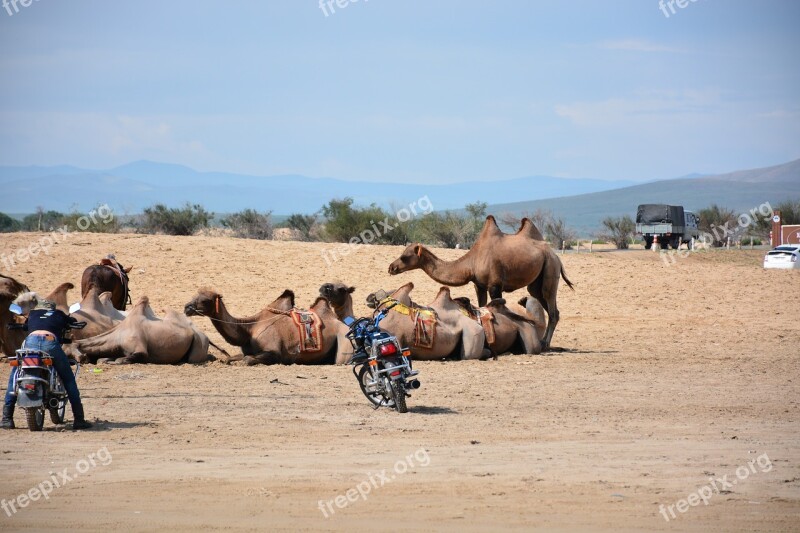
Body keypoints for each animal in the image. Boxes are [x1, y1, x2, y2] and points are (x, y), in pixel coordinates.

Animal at [75, 296, 211, 366]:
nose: (81, 359)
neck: (118, 334)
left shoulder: (140, 349)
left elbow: (124, 359)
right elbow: (106, 358)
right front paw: (105, 360)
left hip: (199, 343)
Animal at [188, 286, 354, 366]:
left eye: (205, 300)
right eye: (194, 296)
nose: (187, 307)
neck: (249, 329)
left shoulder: (274, 352)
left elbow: (247, 360)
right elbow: (232, 358)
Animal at [390, 214, 572, 352]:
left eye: (405, 256)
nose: (391, 267)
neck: (471, 262)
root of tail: (555, 255)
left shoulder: (495, 285)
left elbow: (496, 308)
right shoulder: (480, 286)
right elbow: (481, 307)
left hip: (551, 268)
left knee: (552, 307)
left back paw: (545, 344)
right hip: (536, 282)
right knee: (548, 305)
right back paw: (544, 342)